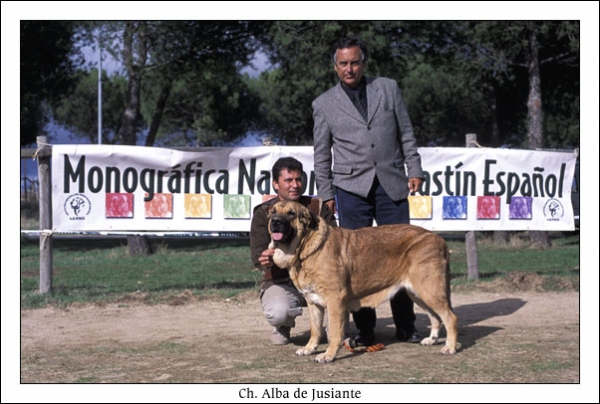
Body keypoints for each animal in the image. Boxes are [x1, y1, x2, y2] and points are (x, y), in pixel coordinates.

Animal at [268, 200, 460, 362]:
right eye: (273, 212)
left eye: (291, 213)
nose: (275, 222)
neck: (305, 248)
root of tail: (440, 239)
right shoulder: (313, 301)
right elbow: (315, 330)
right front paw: (309, 349)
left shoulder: (335, 299)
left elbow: (335, 332)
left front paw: (328, 355)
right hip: (418, 293)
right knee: (435, 317)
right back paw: (432, 340)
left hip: (429, 289)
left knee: (450, 317)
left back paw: (449, 347)